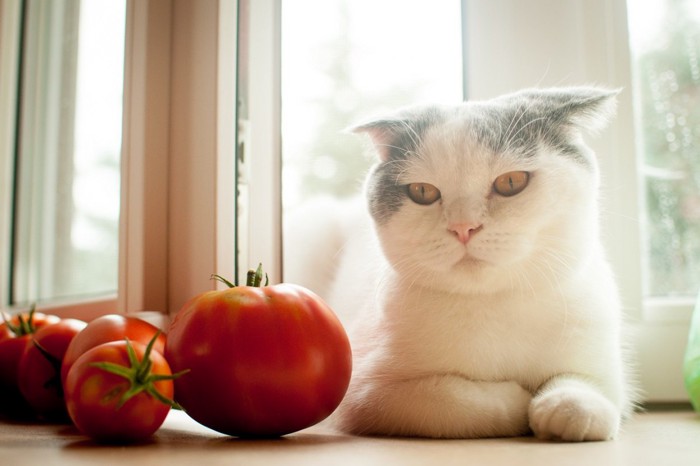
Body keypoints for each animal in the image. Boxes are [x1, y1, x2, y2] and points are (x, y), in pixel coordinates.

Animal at [284, 86, 640, 440]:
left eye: (511, 182)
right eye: (422, 191)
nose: (463, 227)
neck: (494, 306)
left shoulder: (601, 367)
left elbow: (585, 395)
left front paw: (561, 409)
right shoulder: (366, 392)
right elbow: (452, 399)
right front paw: (518, 400)